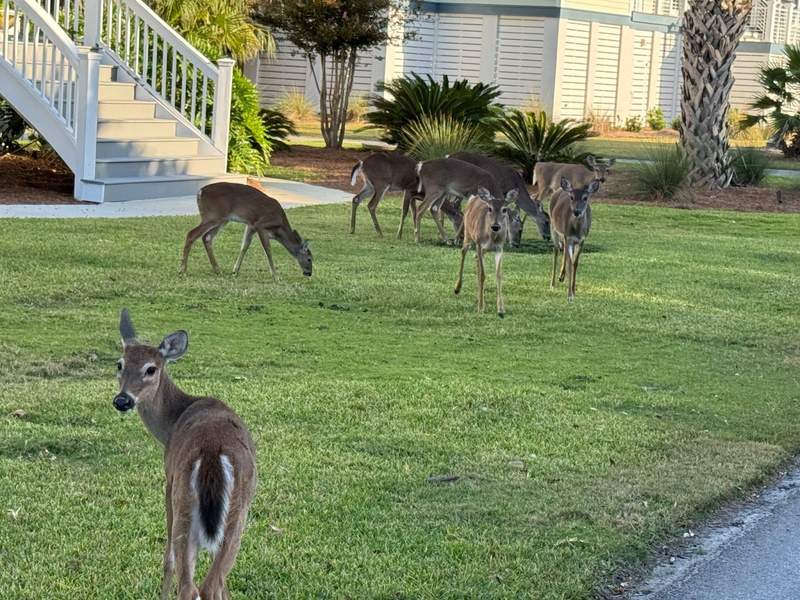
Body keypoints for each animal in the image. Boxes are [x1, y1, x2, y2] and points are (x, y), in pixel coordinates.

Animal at [113, 309, 257, 600]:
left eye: (151, 369)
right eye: (119, 364)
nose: (122, 400)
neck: (172, 422)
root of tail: (213, 453)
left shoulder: (168, 480)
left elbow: (167, 559)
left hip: (184, 502)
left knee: (190, 585)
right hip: (238, 516)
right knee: (214, 581)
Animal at [180, 182, 312, 280]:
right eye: (309, 259)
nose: (309, 273)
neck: (278, 230)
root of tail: (200, 192)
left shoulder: (251, 225)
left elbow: (244, 246)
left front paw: (235, 270)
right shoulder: (261, 225)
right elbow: (268, 250)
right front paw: (275, 276)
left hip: (222, 219)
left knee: (207, 237)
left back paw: (217, 270)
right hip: (213, 215)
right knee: (191, 234)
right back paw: (183, 270)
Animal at [454, 187, 519, 317]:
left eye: (504, 209)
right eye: (490, 208)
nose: (495, 226)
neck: (491, 237)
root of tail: (474, 197)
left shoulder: (499, 248)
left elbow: (498, 275)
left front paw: (501, 309)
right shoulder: (479, 244)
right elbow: (483, 275)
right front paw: (480, 308)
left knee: (476, 261)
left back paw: (479, 296)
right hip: (468, 234)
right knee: (463, 252)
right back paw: (457, 288)